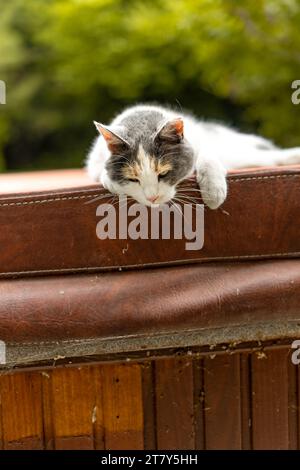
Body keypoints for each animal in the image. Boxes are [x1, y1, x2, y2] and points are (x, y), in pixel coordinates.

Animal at [85, 107, 300, 210]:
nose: (152, 198)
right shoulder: (95, 161)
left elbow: (207, 157)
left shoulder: (202, 146)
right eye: (132, 178)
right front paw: (111, 182)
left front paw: (213, 193)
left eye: (164, 174)